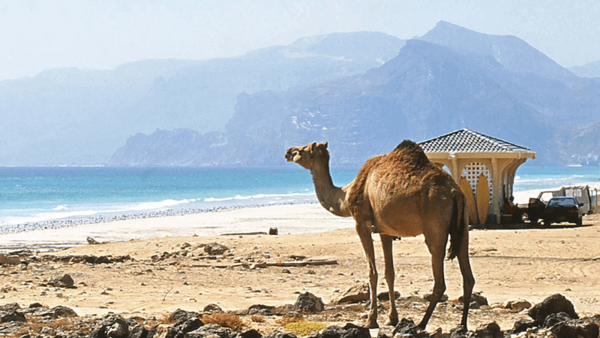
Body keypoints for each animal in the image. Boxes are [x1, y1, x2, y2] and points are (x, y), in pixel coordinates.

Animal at [284, 141, 476, 330]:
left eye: (303, 149)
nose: (288, 152)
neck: (345, 197)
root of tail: (455, 192)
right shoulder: (385, 230)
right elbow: (389, 273)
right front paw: (392, 319)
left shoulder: (361, 222)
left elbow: (372, 272)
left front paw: (371, 320)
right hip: (463, 226)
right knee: (468, 277)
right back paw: (462, 325)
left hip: (435, 228)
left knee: (440, 281)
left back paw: (421, 324)